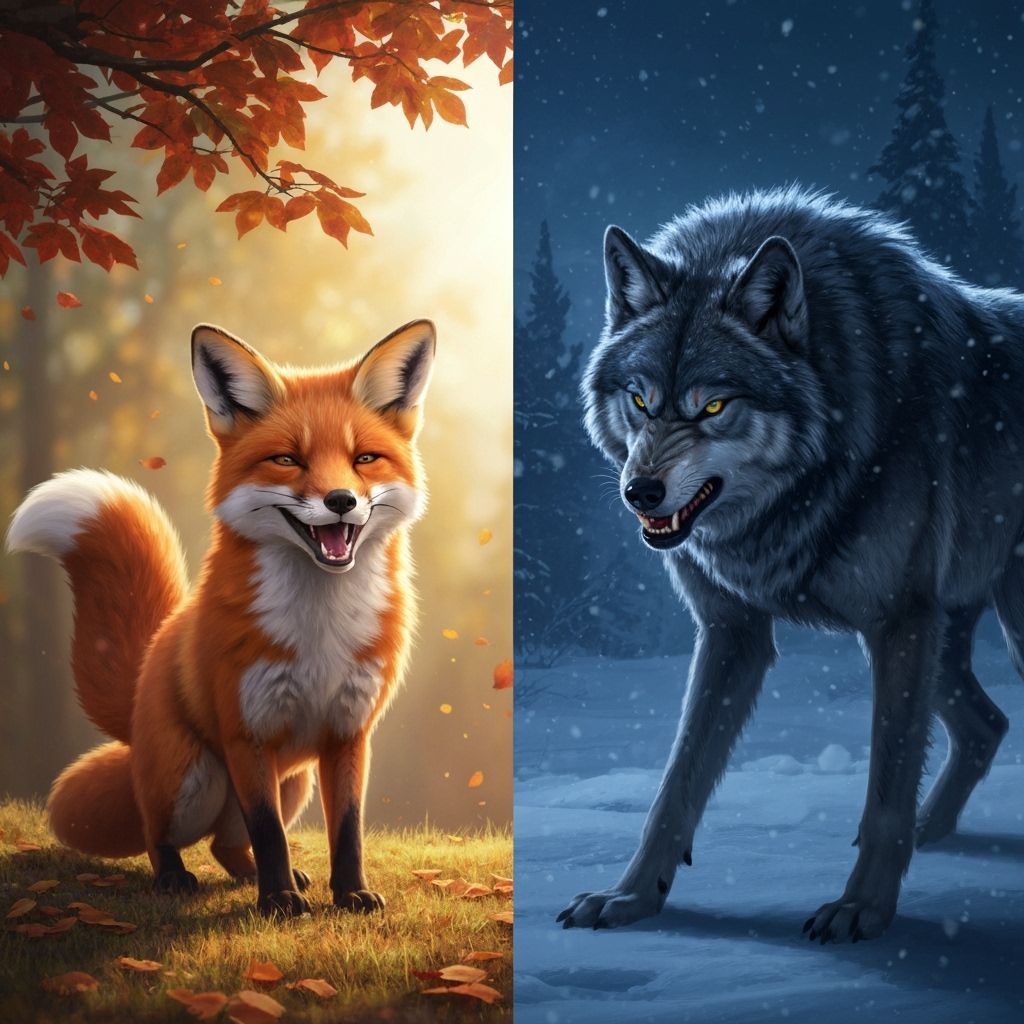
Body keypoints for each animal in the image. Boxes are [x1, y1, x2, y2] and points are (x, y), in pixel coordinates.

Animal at [6, 319, 435, 917]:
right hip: (193, 778)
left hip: (294, 781)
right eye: (288, 460)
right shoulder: (245, 732)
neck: (320, 627)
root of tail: (143, 680)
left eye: (364, 459)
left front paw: (348, 893)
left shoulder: (349, 732)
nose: (341, 500)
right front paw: (278, 901)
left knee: (225, 843)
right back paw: (175, 877)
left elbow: (346, 830)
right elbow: (270, 831)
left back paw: (266, 877)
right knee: (159, 833)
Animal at [561, 187, 1024, 943]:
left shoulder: (898, 626)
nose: (641, 493)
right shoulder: (734, 632)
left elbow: (885, 790)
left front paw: (862, 909)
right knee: (989, 724)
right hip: (947, 640)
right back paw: (932, 829)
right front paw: (630, 897)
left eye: (714, 406)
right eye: (640, 399)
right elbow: (675, 787)